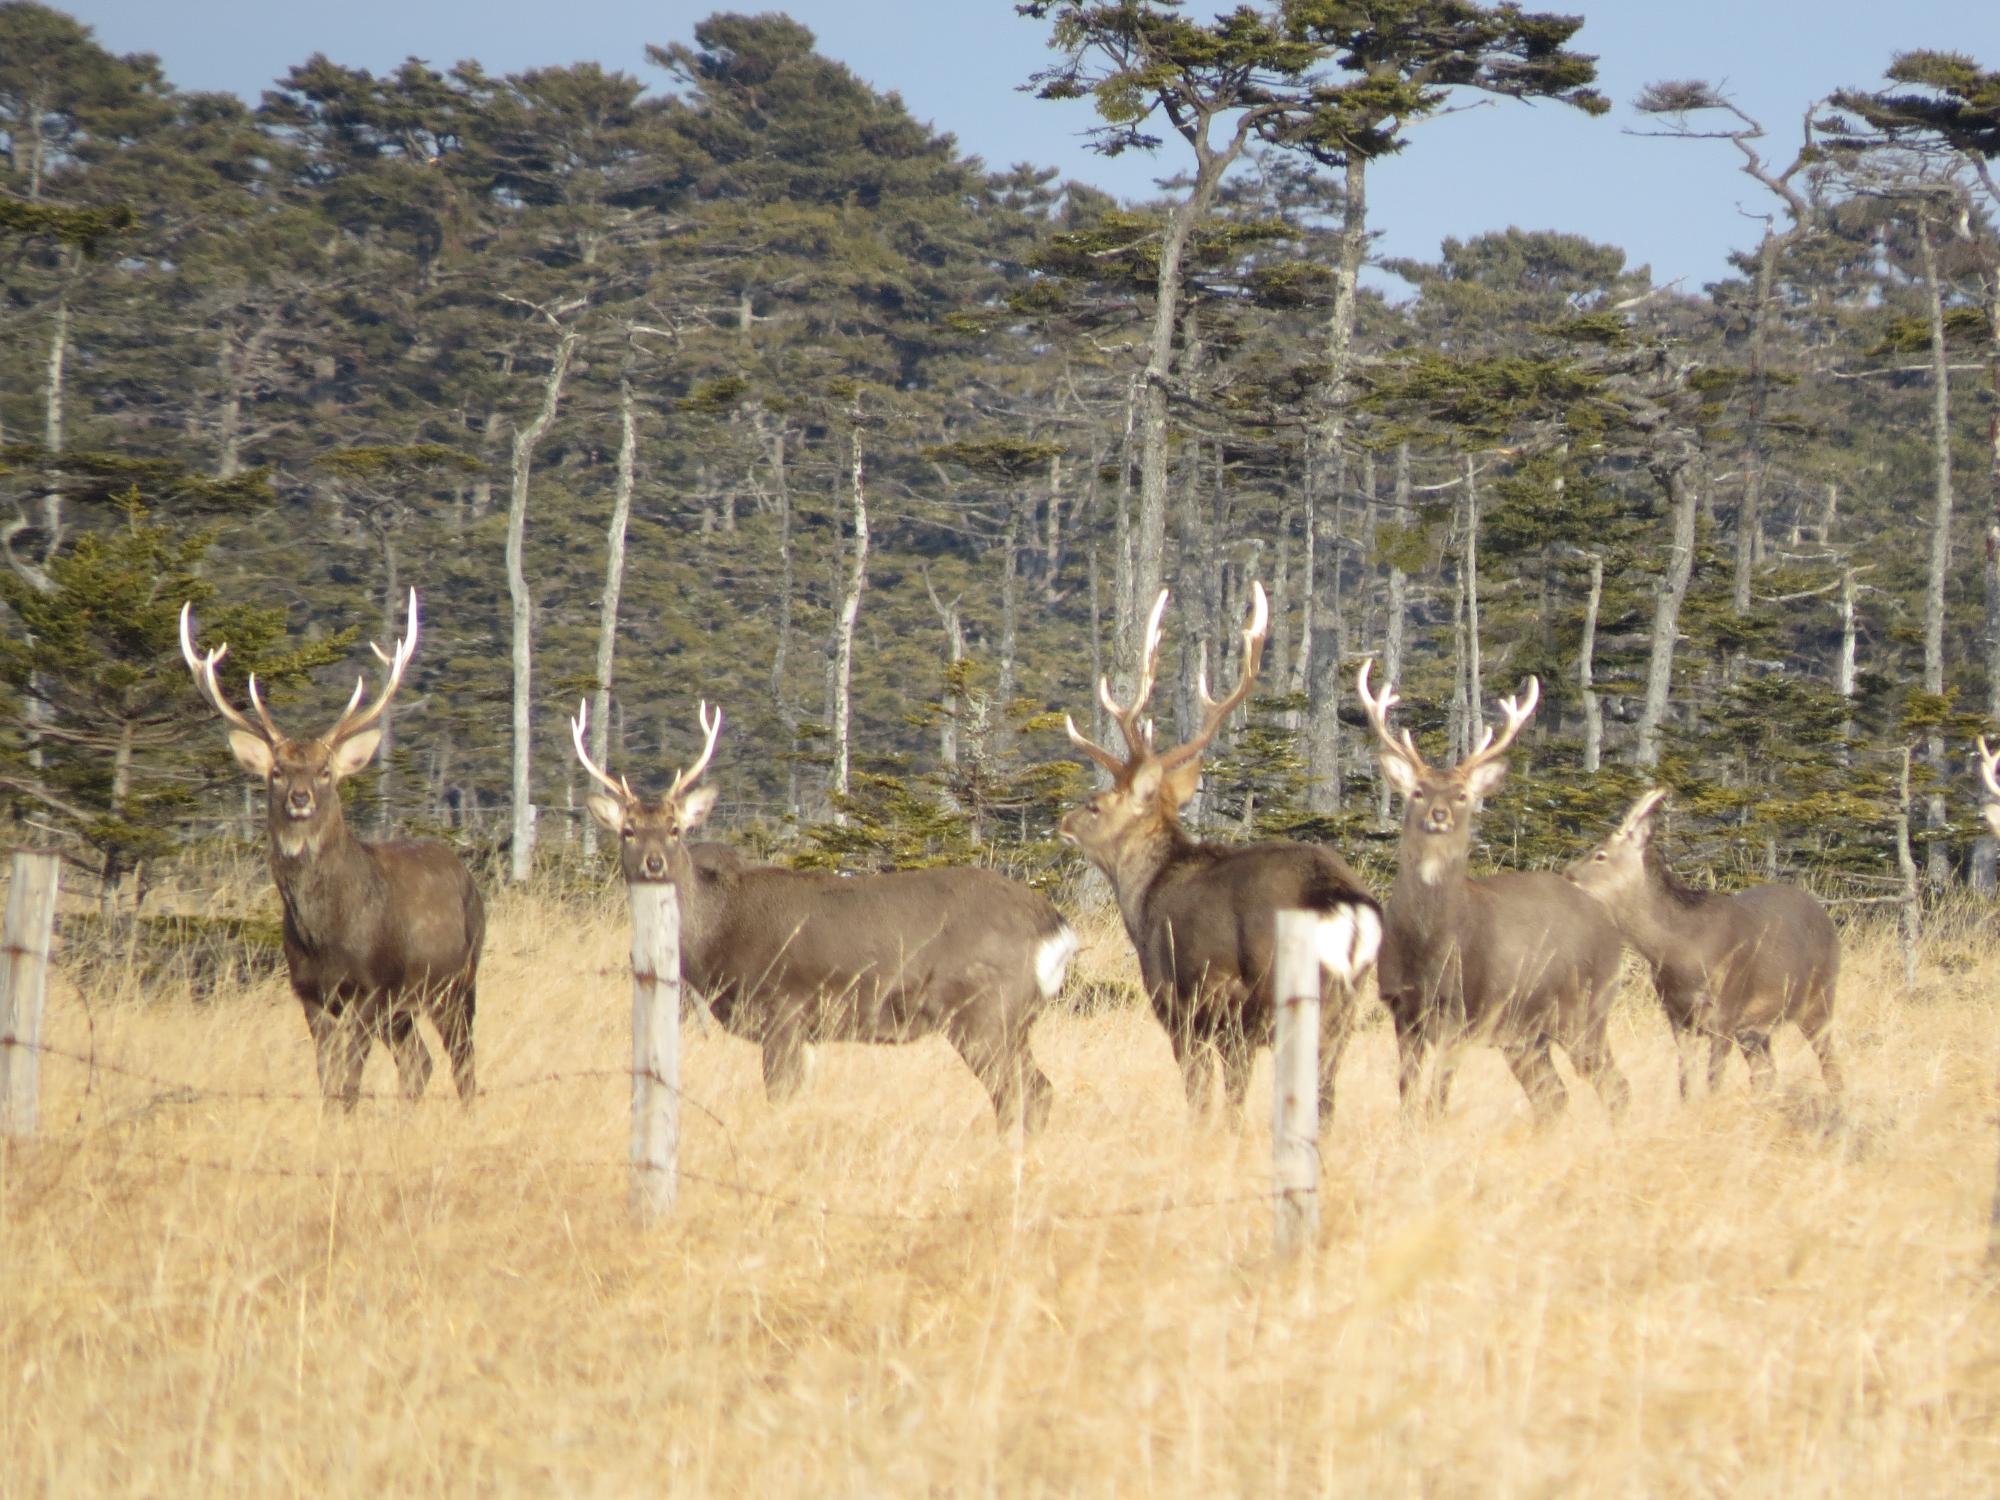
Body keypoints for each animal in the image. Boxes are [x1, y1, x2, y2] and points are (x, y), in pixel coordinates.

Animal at [183, 592, 488, 1112]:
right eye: (278, 771)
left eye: (325, 771)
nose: (299, 797)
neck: (325, 934)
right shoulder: (309, 993)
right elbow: (328, 1079)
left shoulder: (368, 987)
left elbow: (348, 1080)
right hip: (403, 1008)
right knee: (419, 1063)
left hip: (457, 980)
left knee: (463, 1062)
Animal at [576, 700, 1080, 1136]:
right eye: (627, 831)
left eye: (675, 829)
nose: (654, 863)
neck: (718, 934)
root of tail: (1055, 927)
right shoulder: (808, 1033)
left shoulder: (783, 1009)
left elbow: (779, 1098)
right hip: (1012, 1019)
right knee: (1038, 1089)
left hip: (984, 1011)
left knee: (1023, 1091)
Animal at [1064, 584, 1376, 1120]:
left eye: (1095, 804)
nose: (1064, 823)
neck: (1145, 900)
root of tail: (1341, 901)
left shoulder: (1183, 1004)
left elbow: (1207, 1095)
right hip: (1347, 1006)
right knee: (1327, 1095)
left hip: (1271, 991)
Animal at [1352, 664, 1632, 1120]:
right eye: (1418, 791)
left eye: (1462, 794)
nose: (1439, 814)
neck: (1429, 944)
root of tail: (1611, 925)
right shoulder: (1402, 1011)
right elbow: (1407, 1096)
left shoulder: (1461, 1011)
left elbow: (1436, 1100)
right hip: (1526, 1036)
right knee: (1553, 1097)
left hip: (1586, 1009)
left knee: (1615, 1087)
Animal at [1560, 792, 1840, 1096]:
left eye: (1600, 854)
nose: (1566, 875)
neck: (1681, 950)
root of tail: (1824, 916)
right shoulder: (1678, 1016)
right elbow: (1684, 1081)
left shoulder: (1726, 1010)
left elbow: (1713, 1080)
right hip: (1756, 1029)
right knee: (1766, 1074)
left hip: (1820, 998)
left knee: (1829, 1065)